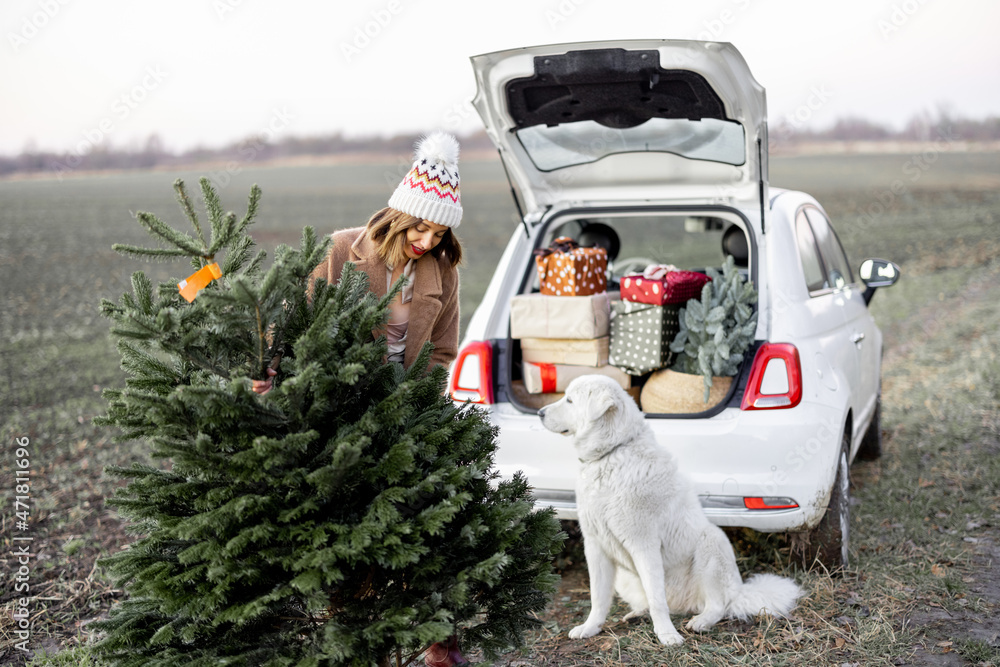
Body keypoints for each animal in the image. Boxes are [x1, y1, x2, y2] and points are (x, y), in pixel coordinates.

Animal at [536, 376, 800, 648]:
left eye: (569, 400)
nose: (539, 413)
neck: (613, 453)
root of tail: (738, 591)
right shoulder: (596, 547)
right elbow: (598, 597)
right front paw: (590, 628)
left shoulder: (644, 545)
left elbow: (657, 599)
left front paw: (666, 634)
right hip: (627, 577)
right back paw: (638, 614)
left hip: (711, 544)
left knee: (718, 605)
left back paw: (700, 621)